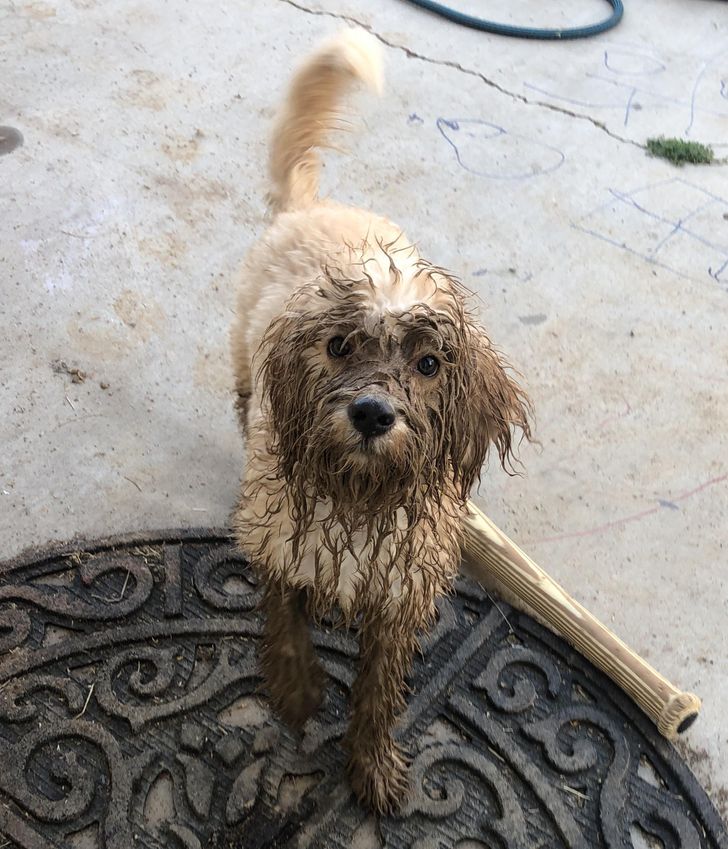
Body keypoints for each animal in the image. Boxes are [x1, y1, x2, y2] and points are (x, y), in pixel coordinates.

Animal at [232, 29, 528, 816]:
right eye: (340, 345)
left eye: (427, 363)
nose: (370, 413)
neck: (360, 497)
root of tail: (315, 206)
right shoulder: (279, 534)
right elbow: (286, 620)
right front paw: (298, 692)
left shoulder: (402, 594)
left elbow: (377, 691)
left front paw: (371, 766)